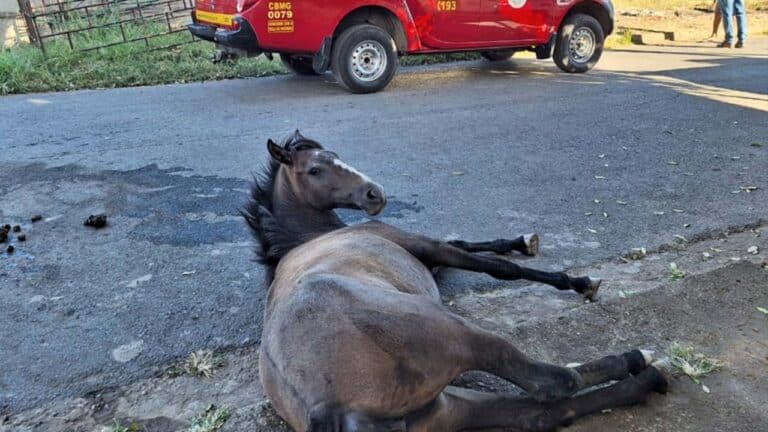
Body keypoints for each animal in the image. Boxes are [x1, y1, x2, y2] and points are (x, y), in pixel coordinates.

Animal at [243, 130, 669, 432]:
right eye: (315, 169)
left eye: (334, 155)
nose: (373, 194)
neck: (307, 238)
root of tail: (330, 410)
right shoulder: (421, 246)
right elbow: (492, 266)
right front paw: (577, 281)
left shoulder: (428, 258)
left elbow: (465, 244)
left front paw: (521, 242)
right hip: (459, 338)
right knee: (553, 382)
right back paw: (638, 360)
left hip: (443, 410)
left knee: (540, 414)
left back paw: (646, 379)